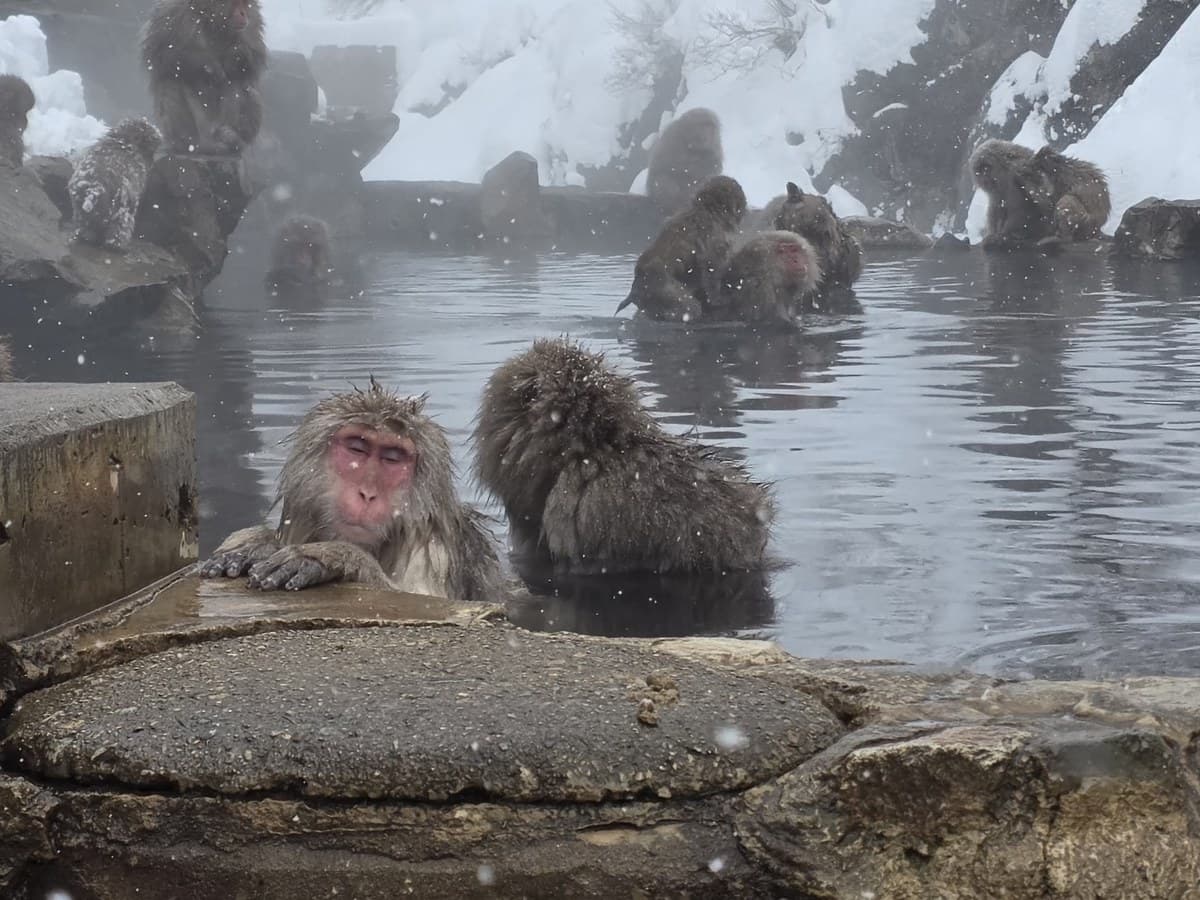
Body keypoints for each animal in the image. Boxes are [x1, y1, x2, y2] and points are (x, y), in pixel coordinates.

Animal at [68, 118, 161, 252]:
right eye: (151, 148)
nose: (152, 161)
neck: (125, 141)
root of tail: (94, 188)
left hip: (79, 203)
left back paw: (86, 236)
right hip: (119, 204)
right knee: (121, 224)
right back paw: (116, 246)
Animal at [141, 0, 267, 156]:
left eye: (244, 3)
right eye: (235, 3)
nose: (243, 13)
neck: (212, 21)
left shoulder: (253, 18)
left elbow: (256, 54)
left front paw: (237, 55)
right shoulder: (172, 12)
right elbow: (159, 50)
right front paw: (210, 67)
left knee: (241, 81)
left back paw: (231, 138)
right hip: (197, 129)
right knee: (169, 82)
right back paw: (185, 143)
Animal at [199, 379, 505, 602]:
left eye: (392, 458)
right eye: (358, 448)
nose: (367, 493)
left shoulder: (433, 546)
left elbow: (424, 599)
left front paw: (331, 557)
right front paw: (256, 544)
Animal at [616, 174, 747, 322]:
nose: (744, 207)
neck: (708, 210)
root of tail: (637, 287)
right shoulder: (715, 234)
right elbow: (711, 264)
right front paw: (718, 299)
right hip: (664, 291)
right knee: (689, 307)